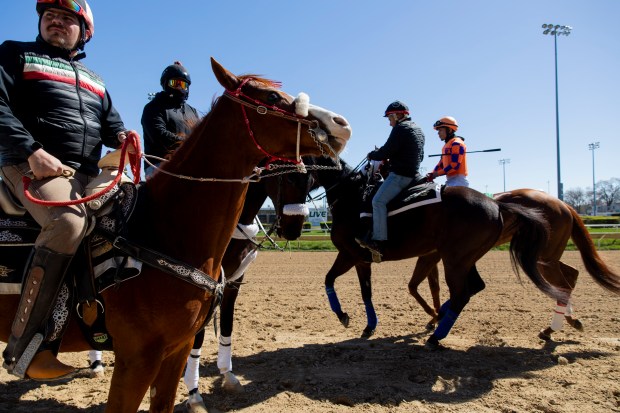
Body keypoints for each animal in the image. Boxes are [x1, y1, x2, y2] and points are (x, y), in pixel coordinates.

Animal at [0, 58, 348, 412]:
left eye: (311, 180)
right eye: (273, 98)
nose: (341, 123)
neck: (161, 231)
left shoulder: (181, 342)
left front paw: (225, 377)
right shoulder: (137, 361)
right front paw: (195, 394)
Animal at [302, 156, 568, 350]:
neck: (354, 197)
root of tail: (497, 204)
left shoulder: (355, 255)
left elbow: (352, 287)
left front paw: (354, 319)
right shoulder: (352, 256)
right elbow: (336, 282)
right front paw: (357, 321)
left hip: (455, 260)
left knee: (462, 294)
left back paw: (436, 334)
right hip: (464, 259)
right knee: (474, 287)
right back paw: (438, 319)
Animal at [406, 190, 620, 338]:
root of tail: (564, 205)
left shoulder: (439, 254)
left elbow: (425, 286)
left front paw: (435, 317)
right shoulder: (435, 254)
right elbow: (431, 287)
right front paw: (434, 317)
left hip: (543, 258)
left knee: (564, 284)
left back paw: (555, 326)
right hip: (548, 257)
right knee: (571, 275)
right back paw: (563, 323)